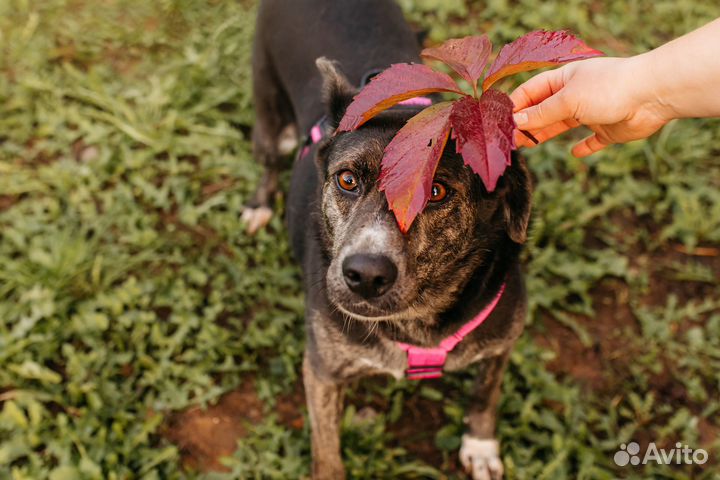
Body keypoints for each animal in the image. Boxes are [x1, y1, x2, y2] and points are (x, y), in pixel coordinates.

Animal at [248, 1, 536, 478]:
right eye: (347, 180)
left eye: (436, 191)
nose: (365, 275)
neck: (416, 319)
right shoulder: (322, 371)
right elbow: (326, 449)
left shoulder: (502, 342)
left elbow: (485, 393)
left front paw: (480, 444)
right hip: (265, 96)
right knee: (268, 154)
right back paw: (259, 202)